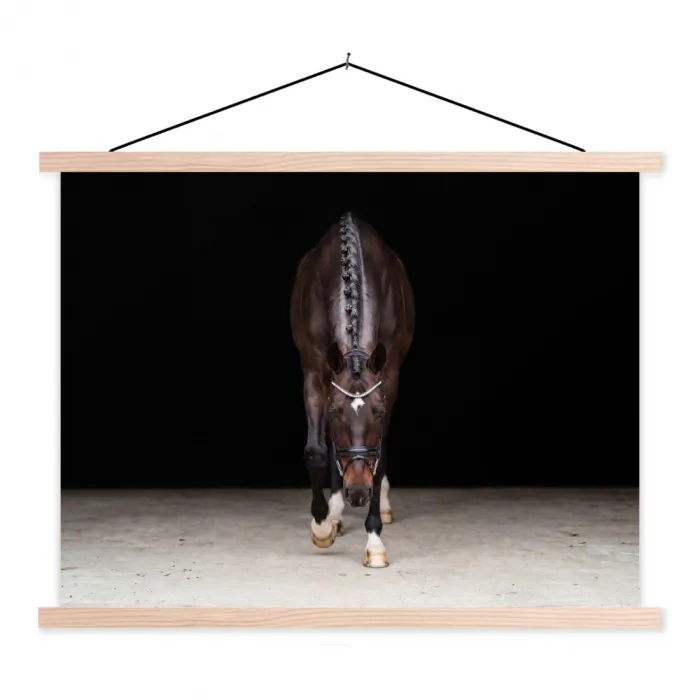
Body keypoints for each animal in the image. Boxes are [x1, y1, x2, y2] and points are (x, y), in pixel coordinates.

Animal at [290, 212, 415, 567]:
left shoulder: (389, 377)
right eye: (335, 414)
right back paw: (335, 513)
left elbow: (380, 455)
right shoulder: (314, 372)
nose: (358, 493)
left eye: (378, 413)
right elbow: (317, 450)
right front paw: (322, 525)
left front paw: (374, 541)